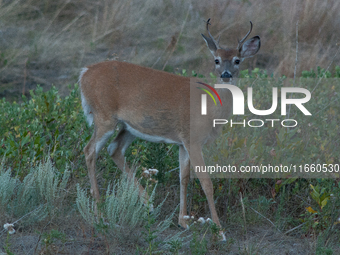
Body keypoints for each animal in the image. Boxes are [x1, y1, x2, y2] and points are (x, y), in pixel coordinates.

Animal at [79, 18, 260, 240]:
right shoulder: (194, 140)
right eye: (216, 60)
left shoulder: (183, 142)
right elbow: (206, 182)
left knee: (114, 149)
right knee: (90, 151)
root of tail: (84, 73)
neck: (210, 108)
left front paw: (184, 222)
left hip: (129, 126)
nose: (226, 75)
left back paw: (148, 204)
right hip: (104, 116)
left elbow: (184, 178)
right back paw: (100, 215)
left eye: (237, 60)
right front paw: (220, 232)